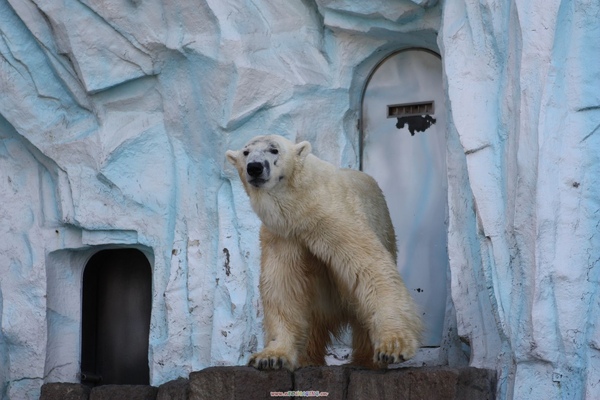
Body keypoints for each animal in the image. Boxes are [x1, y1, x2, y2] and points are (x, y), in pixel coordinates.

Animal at [226, 136, 422, 370]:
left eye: (274, 150)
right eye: (246, 152)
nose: (254, 167)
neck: (301, 206)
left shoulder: (333, 218)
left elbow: (371, 269)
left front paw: (392, 347)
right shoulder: (283, 236)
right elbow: (283, 288)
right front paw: (271, 357)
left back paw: (365, 361)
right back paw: (307, 359)